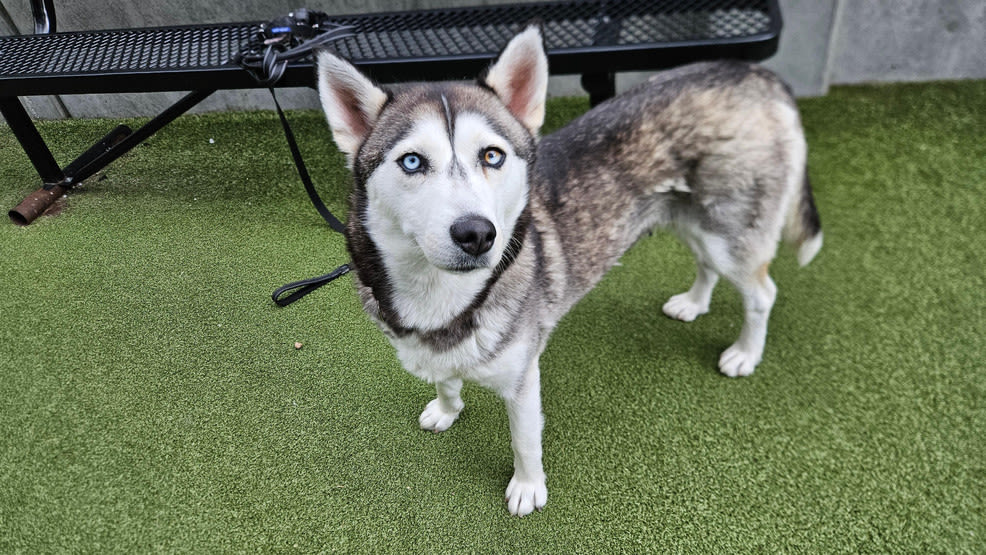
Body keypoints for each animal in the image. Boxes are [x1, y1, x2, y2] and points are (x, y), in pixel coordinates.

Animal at [314, 25, 816, 516]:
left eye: (492, 156)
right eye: (413, 161)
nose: (477, 234)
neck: (444, 296)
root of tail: (753, 73)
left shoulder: (523, 378)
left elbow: (525, 441)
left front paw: (528, 488)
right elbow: (446, 376)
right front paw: (446, 408)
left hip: (729, 233)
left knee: (762, 293)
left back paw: (745, 353)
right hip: (690, 219)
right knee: (706, 262)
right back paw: (694, 303)